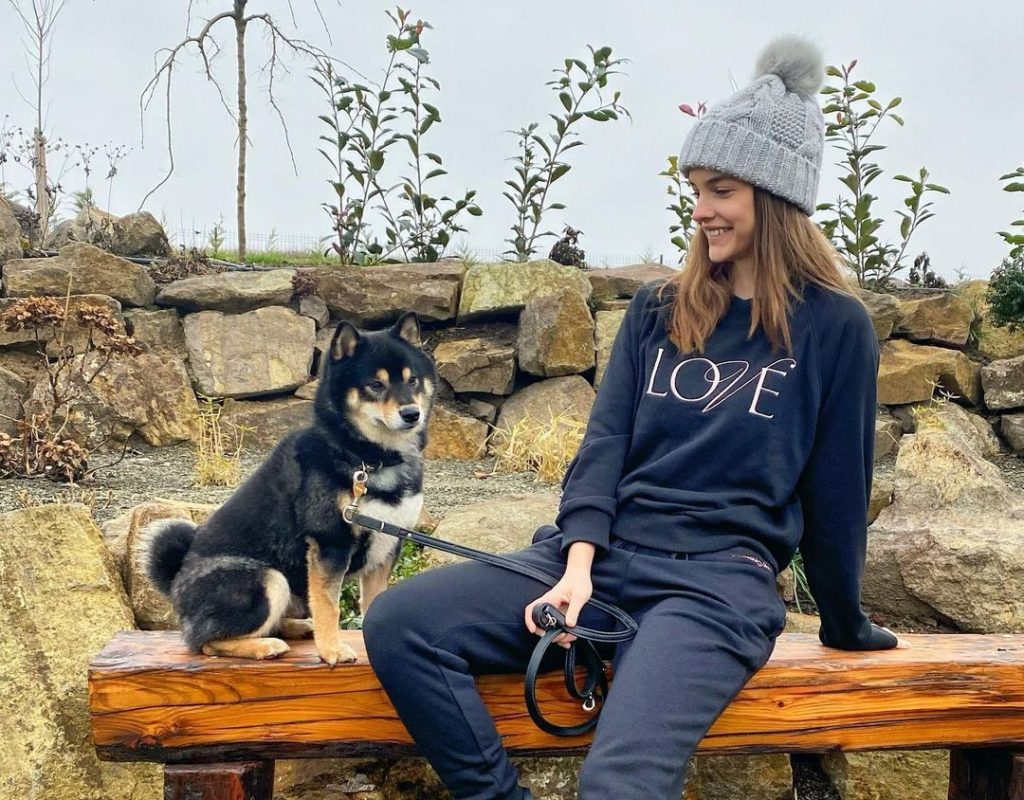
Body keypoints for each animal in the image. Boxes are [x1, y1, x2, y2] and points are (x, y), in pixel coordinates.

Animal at [140, 311, 436, 665]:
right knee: (205, 642)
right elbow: (329, 606)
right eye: (375, 385)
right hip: (269, 579)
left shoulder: (388, 545)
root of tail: (175, 582)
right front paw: (332, 650)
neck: (365, 458)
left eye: (412, 380)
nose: (411, 413)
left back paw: (295, 627)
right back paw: (263, 646)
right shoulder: (329, 544)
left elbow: (372, 603)